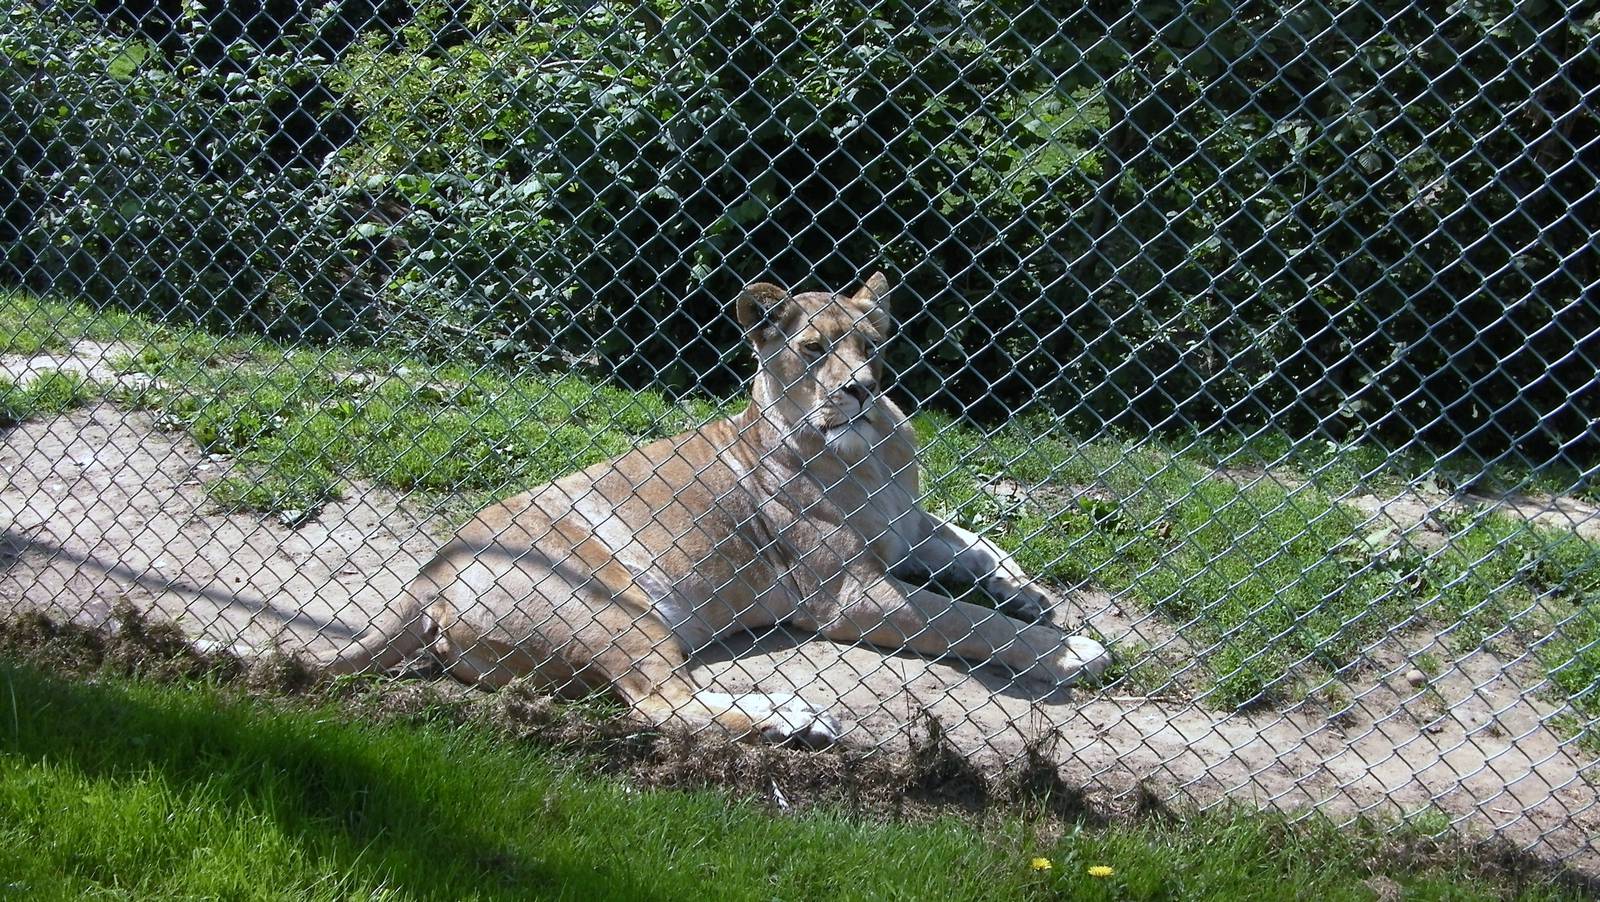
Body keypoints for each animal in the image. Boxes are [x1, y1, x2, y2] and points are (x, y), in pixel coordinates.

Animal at [286, 273, 1109, 744]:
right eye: (813, 349)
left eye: (871, 345)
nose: (861, 390)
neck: (870, 450)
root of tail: (428, 575)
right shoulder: (847, 596)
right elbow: (964, 621)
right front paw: (1070, 649)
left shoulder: (908, 530)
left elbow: (980, 544)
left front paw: (1030, 594)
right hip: (613, 609)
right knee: (660, 703)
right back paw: (795, 716)